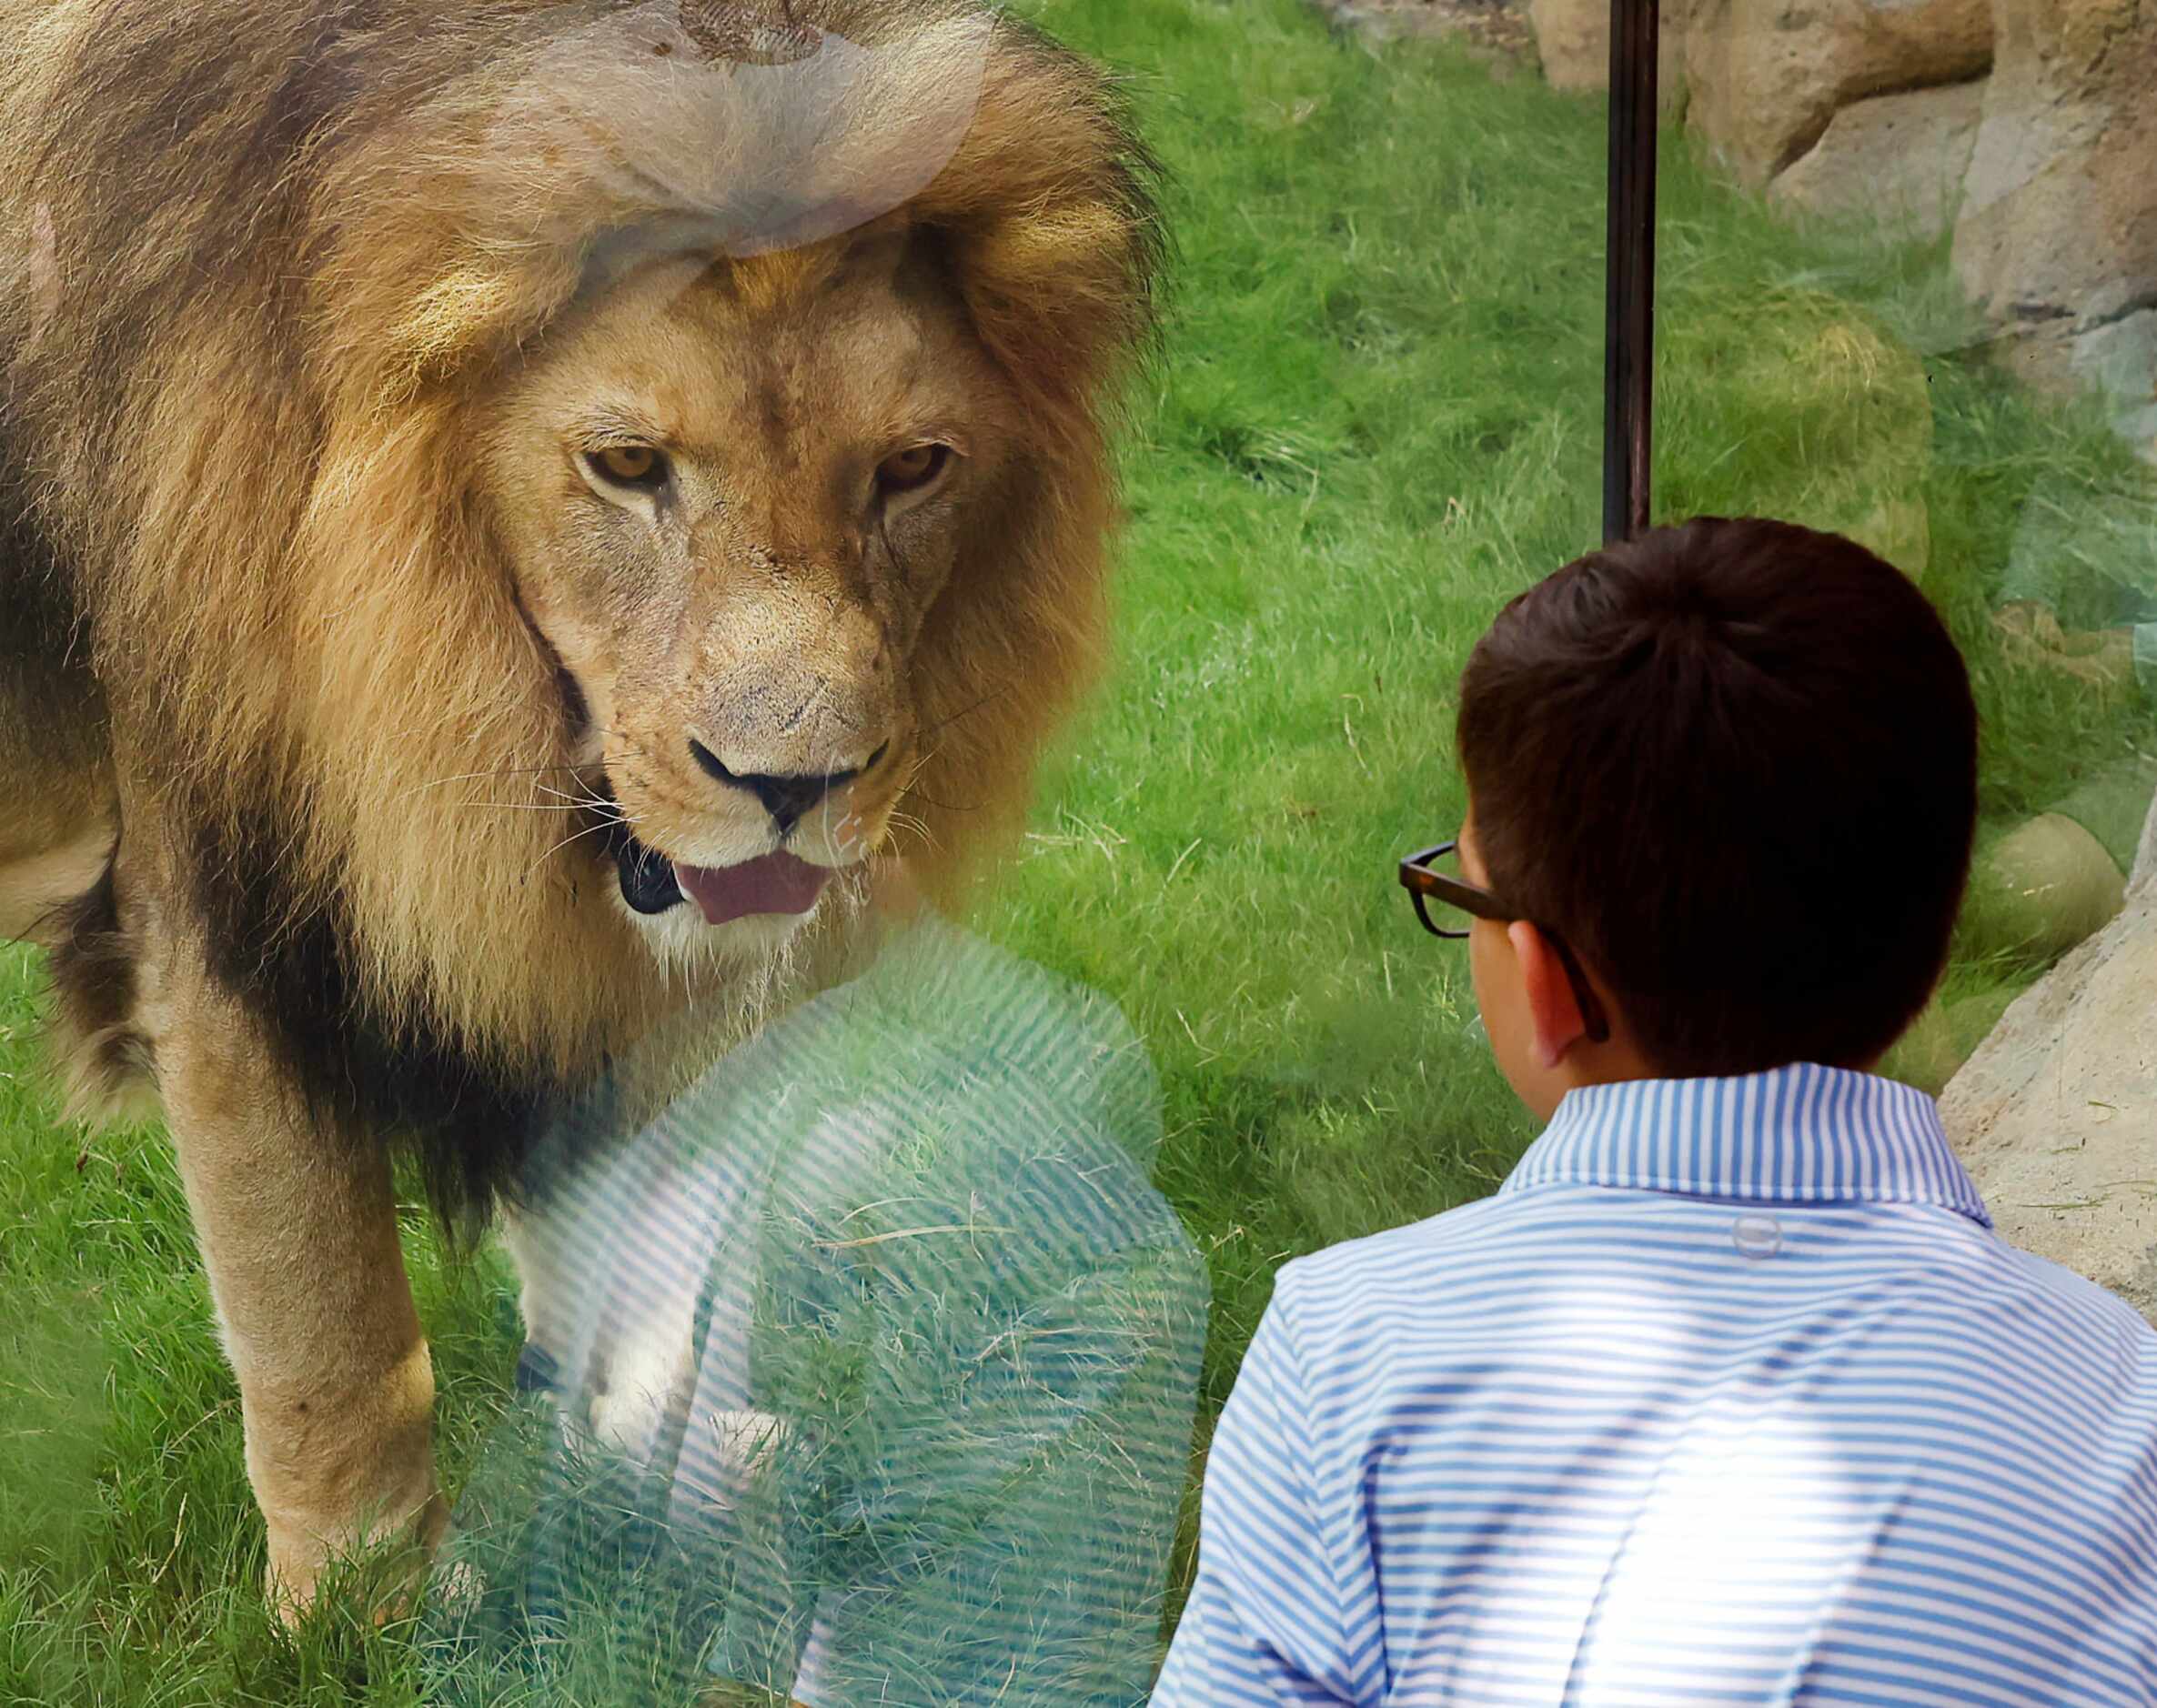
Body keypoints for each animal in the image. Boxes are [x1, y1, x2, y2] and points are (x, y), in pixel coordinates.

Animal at [0, 0, 1164, 1613]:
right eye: (625, 466)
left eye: (912, 467)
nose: (791, 786)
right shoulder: (234, 923)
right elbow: (329, 1326)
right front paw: (374, 1612)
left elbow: (632, 1224)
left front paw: (668, 1487)